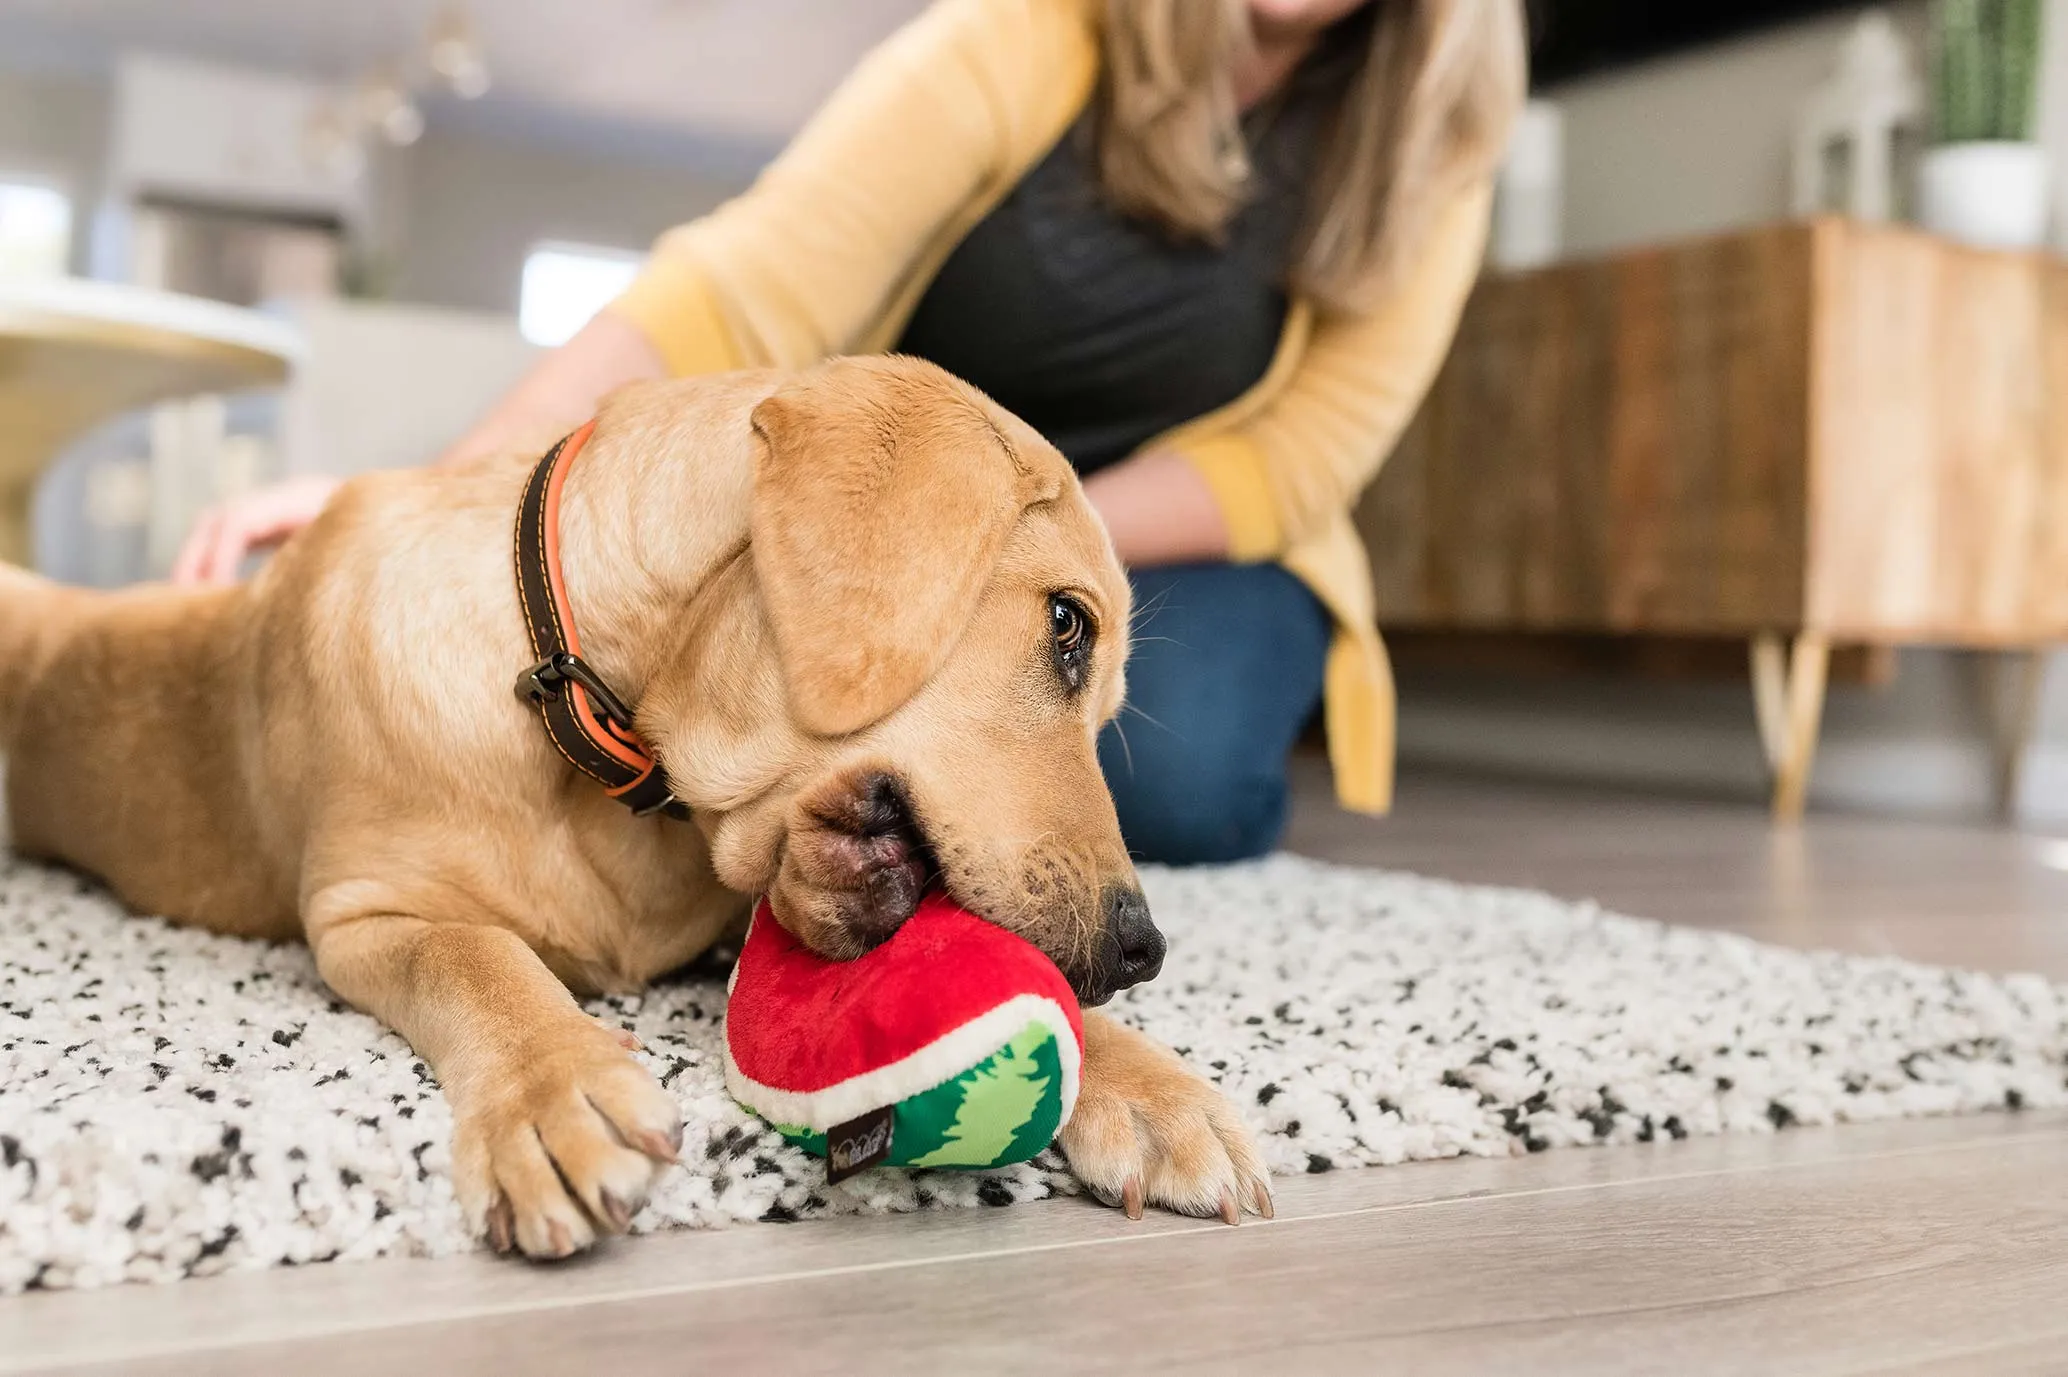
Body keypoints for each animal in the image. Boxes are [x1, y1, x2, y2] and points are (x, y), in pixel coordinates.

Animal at [0, 355, 1265, 1257]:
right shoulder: (370, 916)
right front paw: (554, 1089)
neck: (582, 697)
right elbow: (481, 960)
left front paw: (1151, 1089)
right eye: (1067, 625)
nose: (1142, 948)